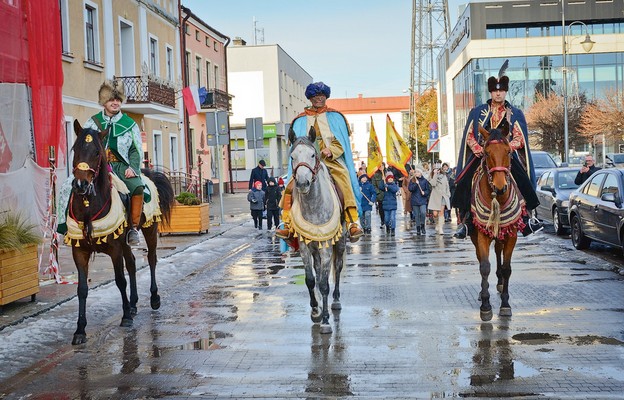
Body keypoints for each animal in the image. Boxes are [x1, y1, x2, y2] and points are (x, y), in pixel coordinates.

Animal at [67, 120, 173, 346]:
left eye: (97, 152)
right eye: (75, 149)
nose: (80, 185)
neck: (89, 205)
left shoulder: (115, 248)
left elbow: (119, 280)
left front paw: (125, 317)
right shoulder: (79, 251)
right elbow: (82, 289)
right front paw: (80, 330)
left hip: (149, 230)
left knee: (151, 259)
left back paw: (153, 298)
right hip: (125, 242)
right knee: (132, 263)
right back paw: (132, 304)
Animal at [288, 126, 346, 334]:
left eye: (313, 154)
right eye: (292, 156)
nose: (303, 183)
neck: (313, 205)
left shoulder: (327, 247)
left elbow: (323, 283)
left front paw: (326, 321)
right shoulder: (305, 248)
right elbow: (311, 280)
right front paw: (316, 311)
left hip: (340, 242)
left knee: (337, 268)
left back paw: (335, 301)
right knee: (319, 270)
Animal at [470, 125, 524, 322]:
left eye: (508, 151)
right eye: (486, 152)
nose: (500, 187)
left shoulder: (511, 234)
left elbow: (507, 268)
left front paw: (505, 304)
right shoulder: (481, 234)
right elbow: (484, 267)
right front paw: (486, 306)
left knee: (499, 252)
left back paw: (500, 283)